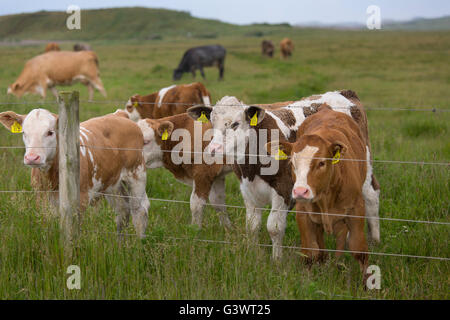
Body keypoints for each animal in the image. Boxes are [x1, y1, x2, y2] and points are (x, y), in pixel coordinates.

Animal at [0, 110, 149, 238]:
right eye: (24, 132)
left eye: (50, 132)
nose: (32, 157)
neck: (52, 179)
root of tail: (119, 115)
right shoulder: (41, 198)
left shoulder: (80, 200)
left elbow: (74, 230)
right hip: (112, 184)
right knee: (122, 211)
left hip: (137, 174)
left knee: (139, 210)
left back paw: (137, 246)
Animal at [188, 90, 382, 260]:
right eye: (212, 124)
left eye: (235, 124)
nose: (213, 149)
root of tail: (344, 93)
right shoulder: (248, 190)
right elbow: (252, 226)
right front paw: (253, 254)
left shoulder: (284, 188)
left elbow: (274, 227)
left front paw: (276, 260)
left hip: (364, 168)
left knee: (371, 197)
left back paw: (374, 242)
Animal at [268, 104, 370, 284]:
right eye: (292, 162)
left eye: (322, 163)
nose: (300, 191)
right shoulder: (303, 213)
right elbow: (309, 253)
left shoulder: (356, 208)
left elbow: (359, 250)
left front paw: (366, 285)